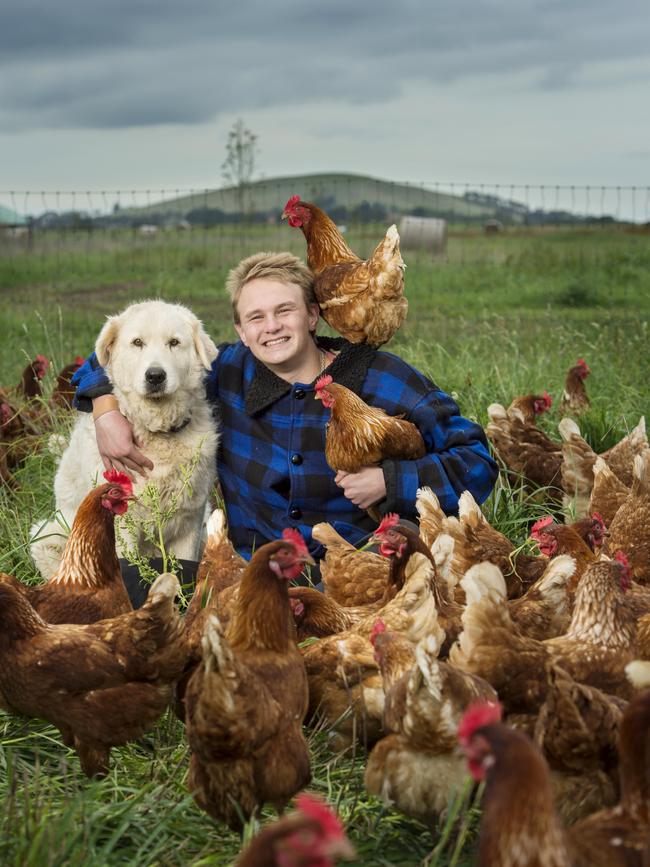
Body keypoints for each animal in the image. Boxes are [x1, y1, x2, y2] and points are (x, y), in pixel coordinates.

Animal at [31, 298, 220, 576]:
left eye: (174, 342)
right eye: (137, 342)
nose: (155, 376)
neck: (155, 431)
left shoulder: (190, 523)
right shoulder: (120, 526)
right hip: (48, 536)